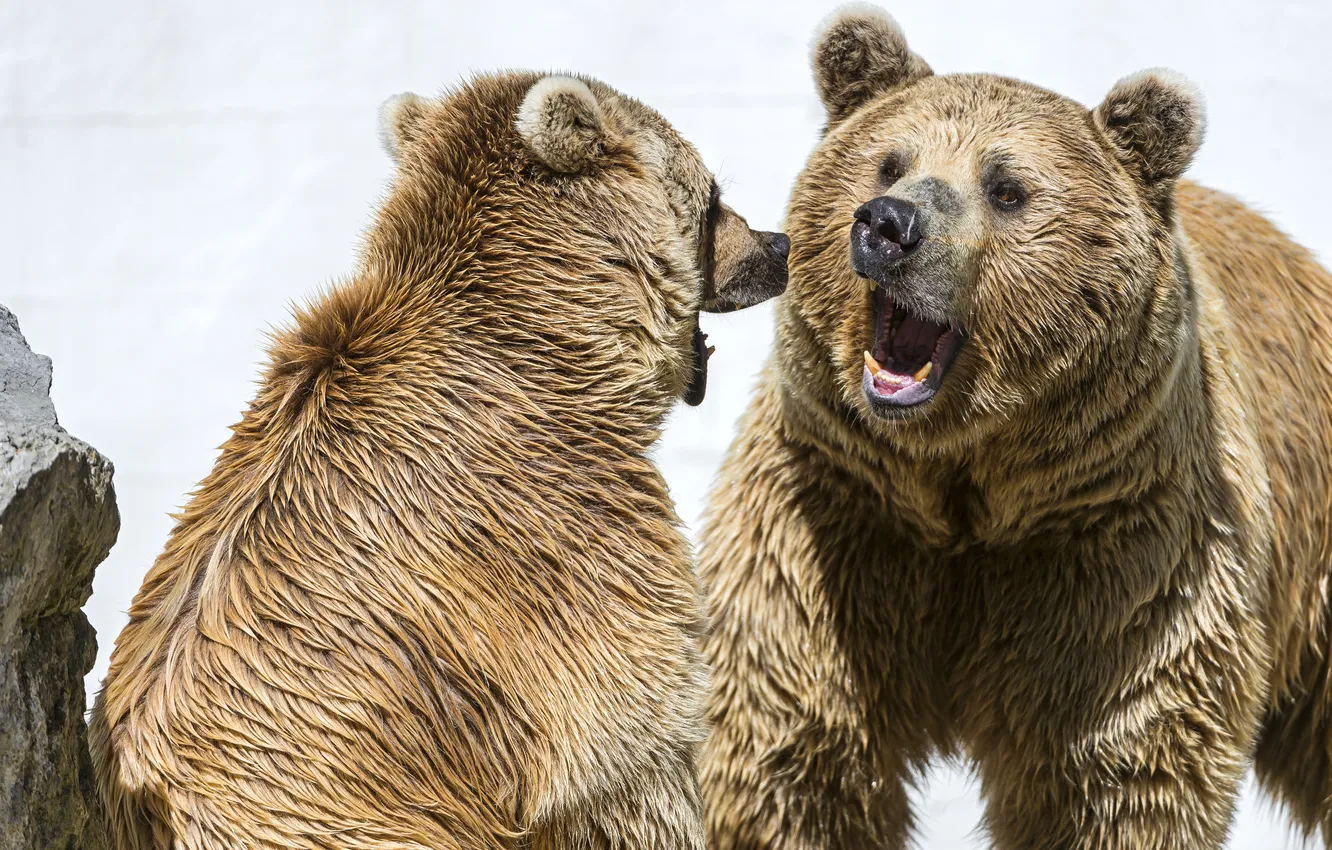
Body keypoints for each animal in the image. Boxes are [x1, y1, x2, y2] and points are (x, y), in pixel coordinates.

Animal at [697, 6, 1332, 850]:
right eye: (888, 163)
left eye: (1006, 188)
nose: (890, 225)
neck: (966, 479)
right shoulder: (834, 521)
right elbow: (795, 749)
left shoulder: (1115, 548)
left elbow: (1112, 769)